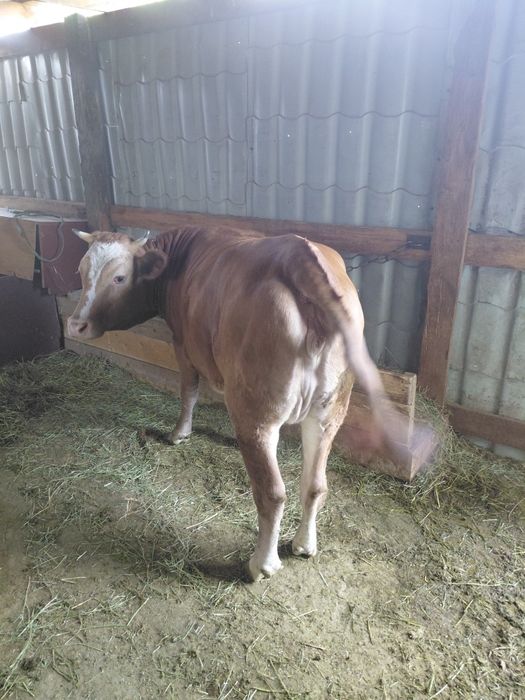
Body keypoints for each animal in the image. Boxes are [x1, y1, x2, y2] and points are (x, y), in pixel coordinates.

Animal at [68, 228, 429, 581]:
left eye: (119, 277)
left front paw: (179, 433)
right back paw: (304, 544)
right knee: (315, 485)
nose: (75, 325)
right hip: (329, 411)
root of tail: (299, 254)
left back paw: (262, 564)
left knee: (272, 493)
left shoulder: (183, 344)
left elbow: (189, 390)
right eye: (81, 272)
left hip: (259, 413)